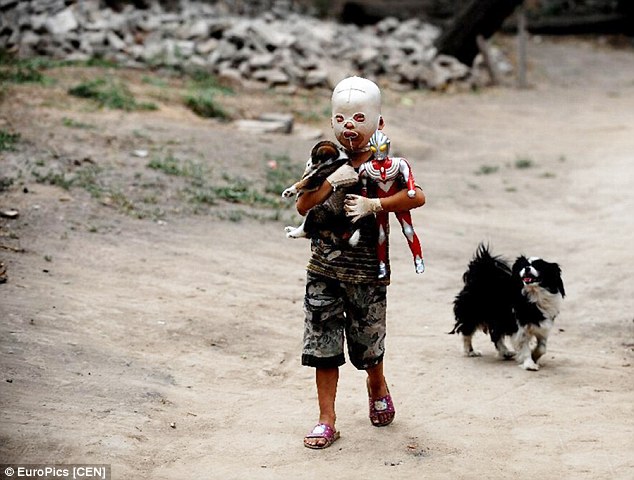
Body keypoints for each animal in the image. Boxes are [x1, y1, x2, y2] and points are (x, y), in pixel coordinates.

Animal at [446, 244, 564, 372]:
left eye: (538, 266)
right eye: (523, 265)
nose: (527, 268)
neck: (534, 294)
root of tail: (481, 272)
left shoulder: (542, 326)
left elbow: (542, 348)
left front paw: (534, 357)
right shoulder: (520, 329)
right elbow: (524, 346)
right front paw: (529, 364)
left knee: (496, 336)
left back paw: (505, 352)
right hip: (473, 313)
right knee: (467, 331)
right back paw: (470, 351)